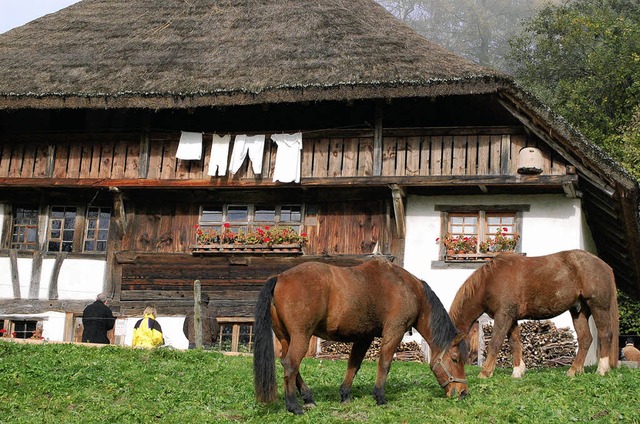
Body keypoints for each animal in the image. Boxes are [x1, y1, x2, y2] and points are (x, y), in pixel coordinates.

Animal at [252, 258, 468, 414]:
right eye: (455, 359)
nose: (463, 393)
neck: (408, 288)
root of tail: (280, 277)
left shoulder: (364, 337)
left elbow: (353, 365)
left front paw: (345, 395)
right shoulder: (394, 332)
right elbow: (384, 364)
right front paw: (380, 397)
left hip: (285, 338)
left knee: (287, 364)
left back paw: (308, 398)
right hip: (301, 337)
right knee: (291, 365)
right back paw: (294, 406)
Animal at [448, 248, 616, 378]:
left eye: (453, 358)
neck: (490, 280)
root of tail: (605, 265)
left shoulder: (503, 316)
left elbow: (495, 342)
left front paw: (485, 373)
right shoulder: (511, 318)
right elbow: (515, 343)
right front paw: (517, 372)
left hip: (598, 307)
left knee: (605, 334)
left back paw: (601, 370)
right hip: (578, 311)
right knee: (585, 339)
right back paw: (573, 371)